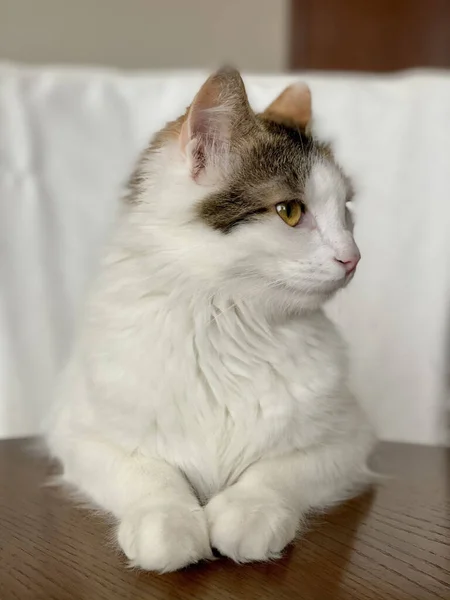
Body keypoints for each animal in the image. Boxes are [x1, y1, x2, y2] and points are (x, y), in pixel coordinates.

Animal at [46, 67, 376, 572]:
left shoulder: (349, 441)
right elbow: (149, 474)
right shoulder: (79, 435)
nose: (353, 258)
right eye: (290, 211)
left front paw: (248, 515)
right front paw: (168, 525)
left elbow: (275, 473)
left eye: (346, 212)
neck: (227, 323)